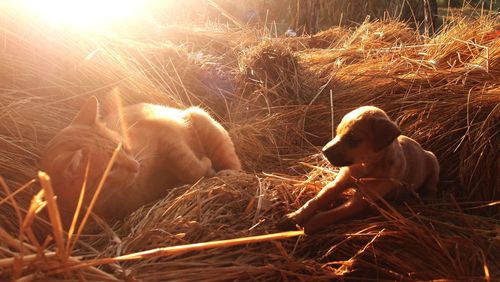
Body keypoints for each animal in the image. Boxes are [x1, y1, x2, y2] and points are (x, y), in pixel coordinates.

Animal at [40, 97, 241, 223]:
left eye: (121, 146)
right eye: (111, 168)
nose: (135, 166)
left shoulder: (166, 137)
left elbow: (189, 166)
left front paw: (206, 168)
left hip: (204, 123)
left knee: (235, 164)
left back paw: (229, 173)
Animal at [284, 106, 440, 234]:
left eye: (353, 138)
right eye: (337, 132)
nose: (324, 151)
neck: (364, 167)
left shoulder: (360, 201)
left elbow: (331, 214)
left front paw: (310, 224)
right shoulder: (339, 182)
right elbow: (318, 199)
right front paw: (297, 215)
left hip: (433, 159)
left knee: (432, 184)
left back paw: (429, 198)